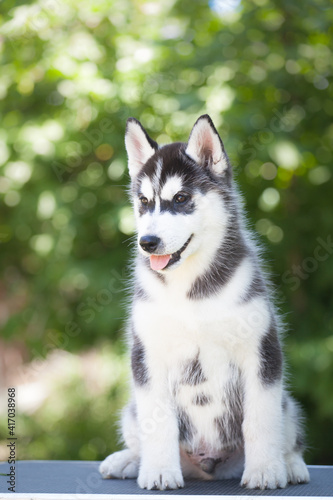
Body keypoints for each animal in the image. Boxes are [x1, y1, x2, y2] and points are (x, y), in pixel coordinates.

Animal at [99, 115, 308, 490]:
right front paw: (159, 471)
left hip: (288, 404)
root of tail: (209, 467)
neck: (189, 290)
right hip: (130, 411)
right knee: (138, 433)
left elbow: (261, 418)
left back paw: (290, 464)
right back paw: (129, 460)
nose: (147, 242)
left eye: (181, 198)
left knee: (287, 432)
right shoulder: (147, 354)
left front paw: (265, 471)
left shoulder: (261, 350)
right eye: (144, 201)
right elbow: (159, 423)